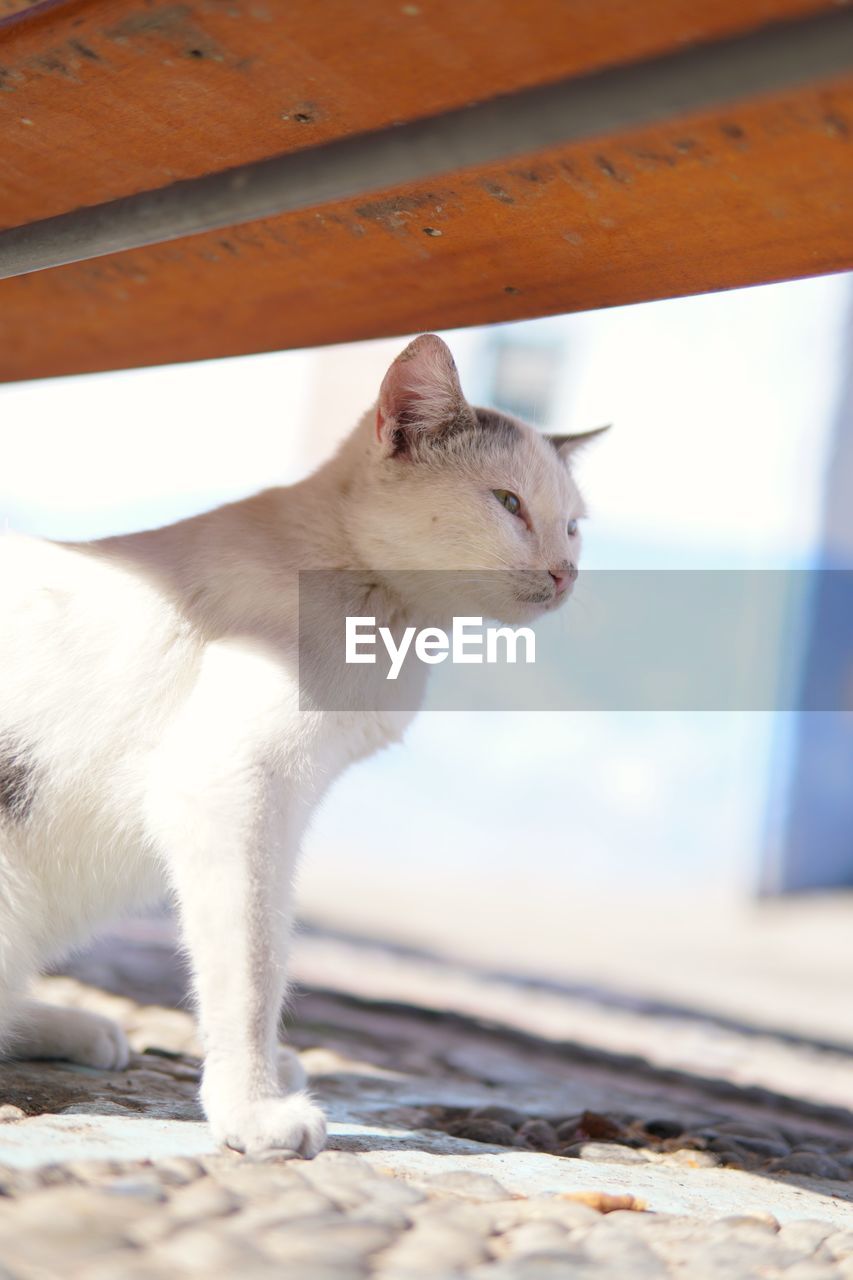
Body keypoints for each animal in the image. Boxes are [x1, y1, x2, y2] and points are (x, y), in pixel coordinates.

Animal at [0, 335, 596, 1157]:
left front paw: (266, 1074)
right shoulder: (229, 787)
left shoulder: (285, 808)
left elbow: (274, 942)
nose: (566, 573)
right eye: (508, 503)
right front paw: (252, 1105)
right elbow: (250, 960)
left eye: (573, 526)